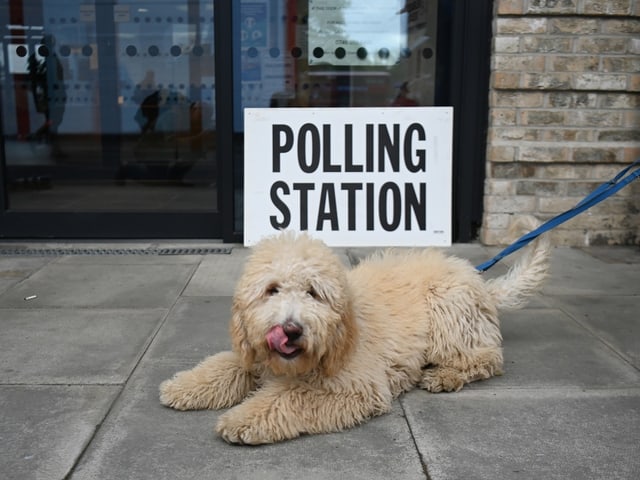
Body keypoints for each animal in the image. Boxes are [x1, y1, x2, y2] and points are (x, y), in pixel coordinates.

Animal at [160, 219, 552, 444]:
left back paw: (445, 376)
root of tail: (477, 279)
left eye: (313, 292)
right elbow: (224, 366)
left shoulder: (356, 387)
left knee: (486, 358)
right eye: (271, 289)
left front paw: (244, 418)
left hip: (448, 311)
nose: (291, 330)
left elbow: (292, 397)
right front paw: (184, 386)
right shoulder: (255, 356)